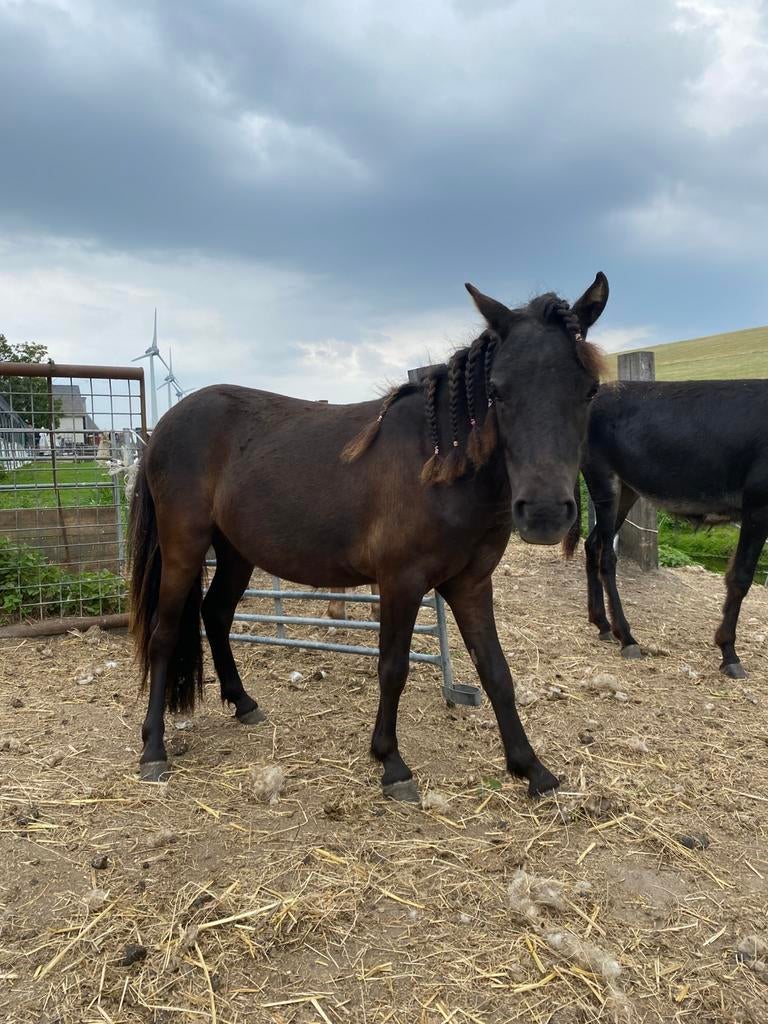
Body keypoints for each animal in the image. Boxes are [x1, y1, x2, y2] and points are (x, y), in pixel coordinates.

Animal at [128, 273, 608, 801]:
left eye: (589, 391)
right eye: (498, 392)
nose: (544, 512)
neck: (438, 463)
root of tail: (162, 428)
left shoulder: (470, 584)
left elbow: (496, 672)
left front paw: (531, 767)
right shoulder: (401, 582)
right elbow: (393, 668)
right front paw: (391, 762)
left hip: (235, 552)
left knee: (215, 613)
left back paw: (243, 703)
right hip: (184, 547)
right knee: (165, 633)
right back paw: (154, 749)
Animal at [563, 379, 768, 677]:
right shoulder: (758, 506)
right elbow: (740, 577)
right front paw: (729, 652)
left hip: (626, 490)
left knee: (593, 545)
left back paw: (602, 624)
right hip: (603, 480)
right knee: (606, 557)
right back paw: (627, 637)